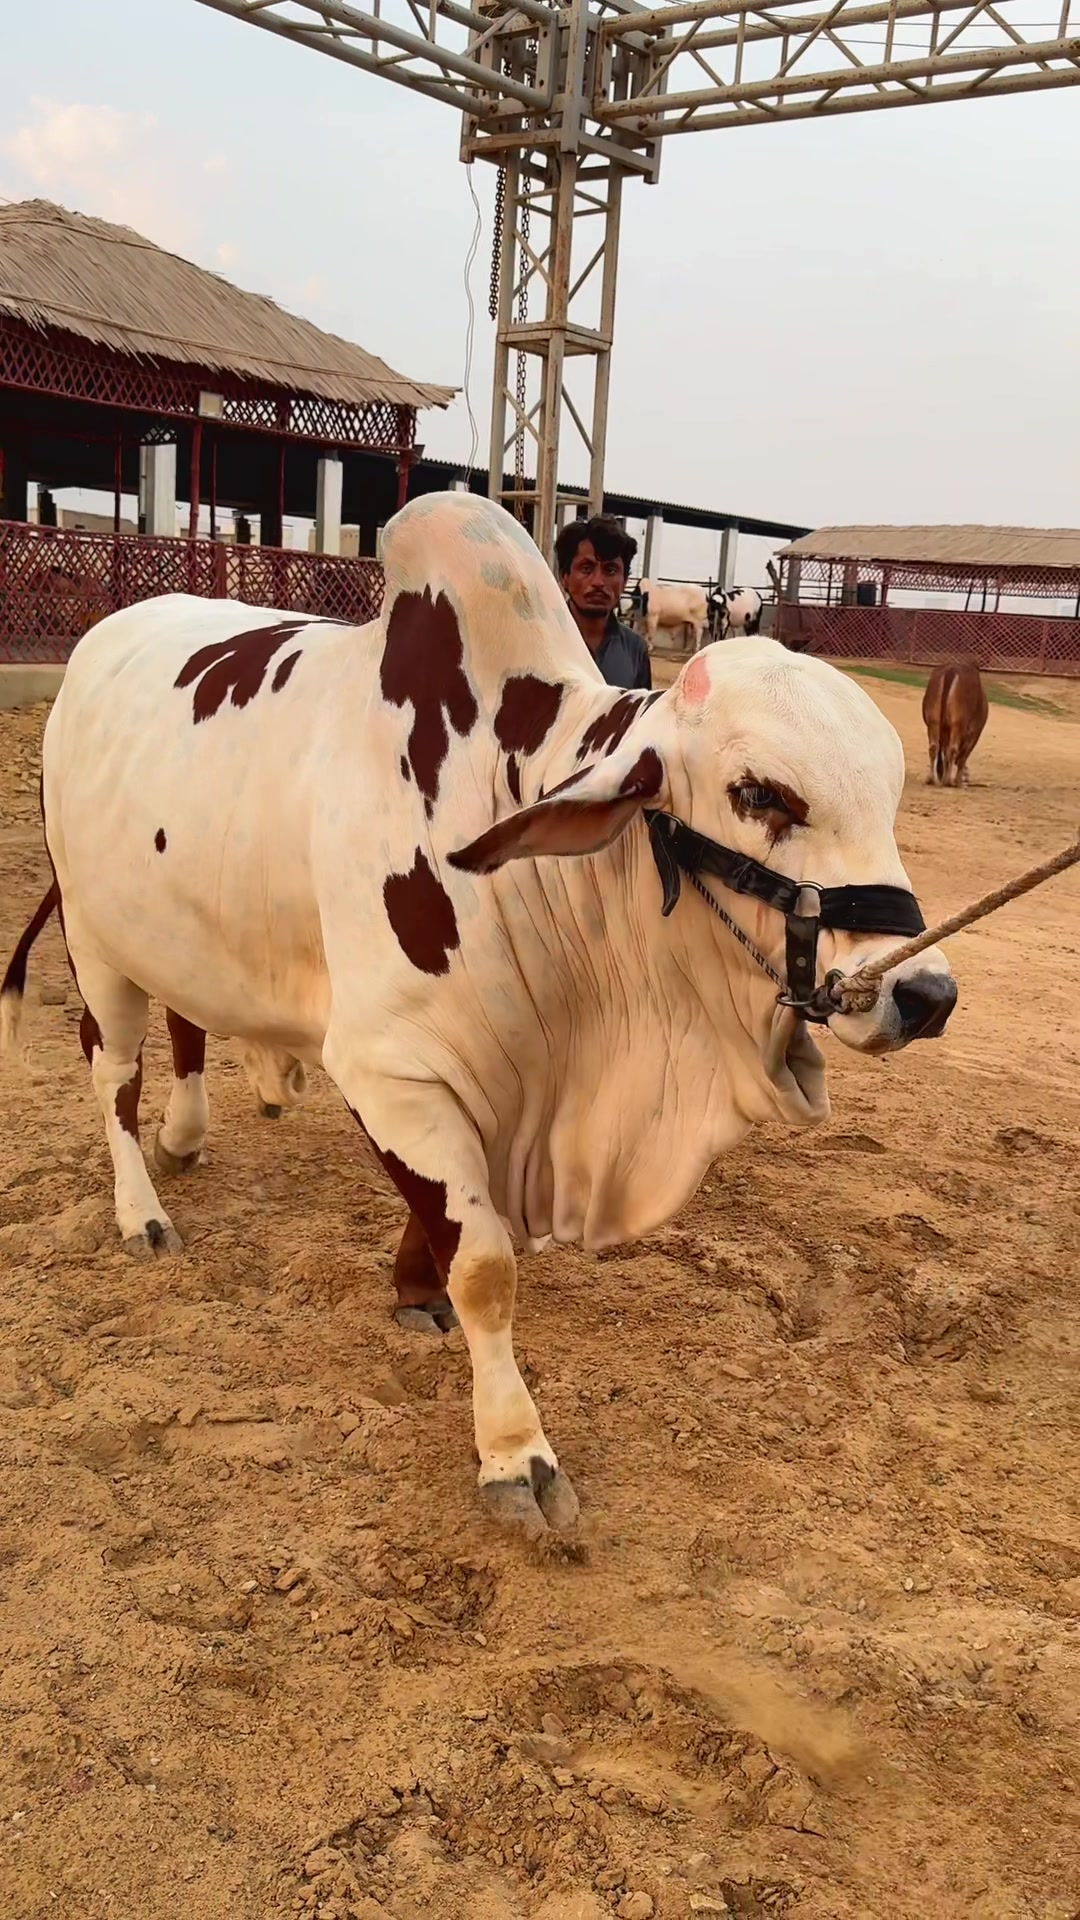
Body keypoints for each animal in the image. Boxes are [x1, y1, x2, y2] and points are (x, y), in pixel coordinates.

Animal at [2, 491, 957, 1541]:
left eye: (890, 793)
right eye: (760, 794)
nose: (926, 995)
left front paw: (413, 1292)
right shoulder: (391, 1071)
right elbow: (486, 1269)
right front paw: (514, 1450)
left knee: (187, 1026)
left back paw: (186, 1136)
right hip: (95, 939)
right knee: (111, 1073)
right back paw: (142, 1207)